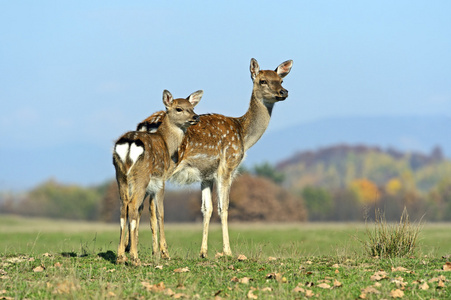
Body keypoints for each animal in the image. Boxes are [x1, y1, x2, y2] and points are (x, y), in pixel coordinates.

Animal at [113, 89, 203, 264]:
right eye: (179, 108)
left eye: (192, 107)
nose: (196, 117)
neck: (167, 143)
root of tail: (128, 144)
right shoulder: (161, 180)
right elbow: (160, 213)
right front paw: (165, 253)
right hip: (141, 176)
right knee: (132, 206)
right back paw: (135, 258)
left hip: (120, 176)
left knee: (123, 207)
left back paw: (120, 257)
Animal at [138, 58, 294, 258]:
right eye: (263, 81)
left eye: (281, 80)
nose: (283, 92)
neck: (243, 135)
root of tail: (145, 125)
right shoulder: (227, 166)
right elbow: (224, 207)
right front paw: (228, 251)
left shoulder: (206, 175)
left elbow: (207, 209)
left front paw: (203, 252)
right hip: (166, 166)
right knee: (152, 203)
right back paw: (160, 251)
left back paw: (152, 251)